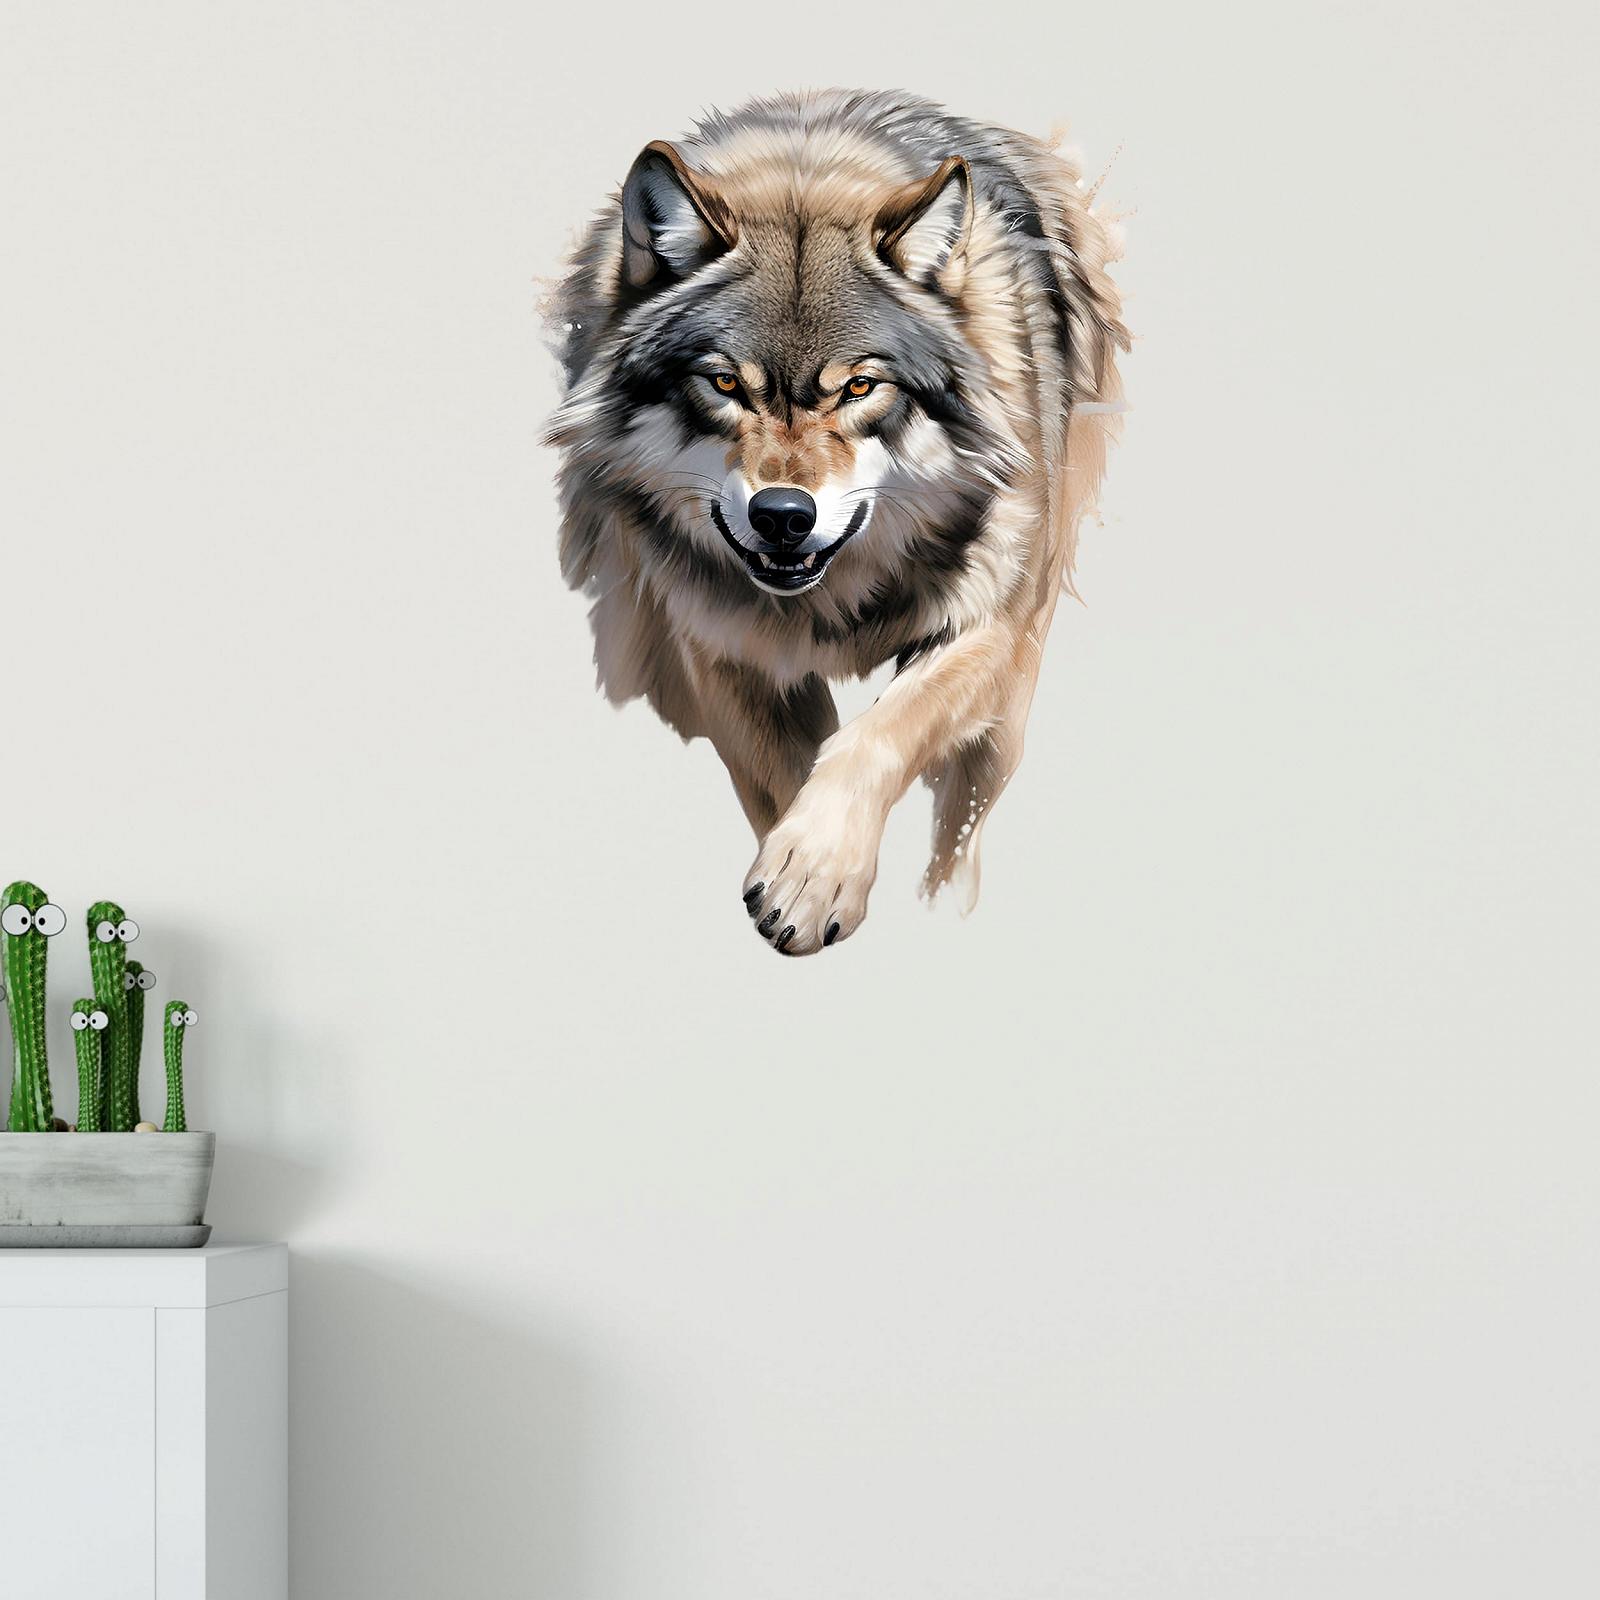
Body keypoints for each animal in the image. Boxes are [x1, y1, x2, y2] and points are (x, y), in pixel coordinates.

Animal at [546, 89, 1128, 954]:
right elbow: (786, 773)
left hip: (1006, 708)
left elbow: (874, 736)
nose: (783, 516)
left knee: (961, 823)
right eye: (725, 383)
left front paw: (813, 873)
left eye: (858, 388)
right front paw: (802, 877)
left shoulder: (987, 625)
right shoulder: (719, 647)